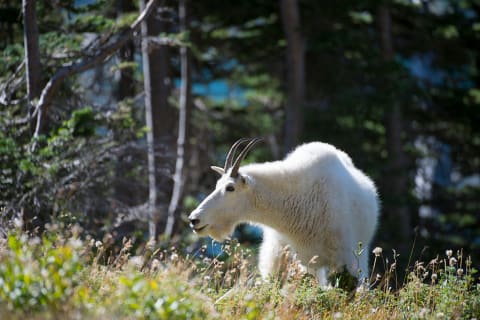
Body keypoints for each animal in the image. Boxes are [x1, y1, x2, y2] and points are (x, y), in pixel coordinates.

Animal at [188, 138, 378, 284]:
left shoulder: (346, 260)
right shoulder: (307, 262)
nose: (194, 219)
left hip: (360, 254)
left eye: (230, 188)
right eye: (217, 184)